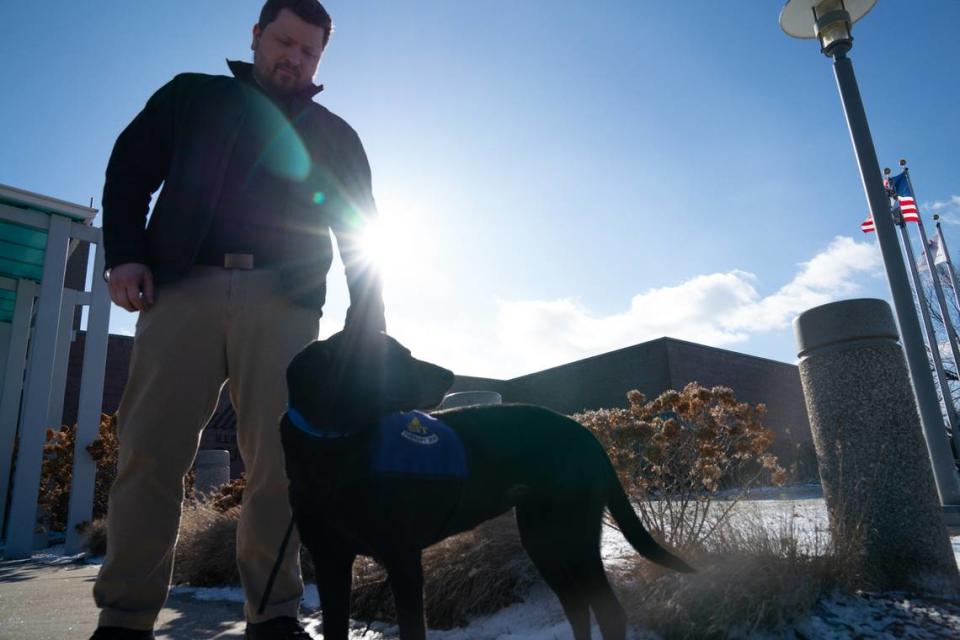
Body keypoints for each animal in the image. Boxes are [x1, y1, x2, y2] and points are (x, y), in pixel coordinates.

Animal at [278, 330, 688, 640]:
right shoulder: (330, 560)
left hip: (572, 536)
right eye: (391, 357)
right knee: (579, 609)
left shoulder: (402, 558)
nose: (449, 375)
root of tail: (588, 435)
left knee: (608, 612)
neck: (336, 447)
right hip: (543, 541)